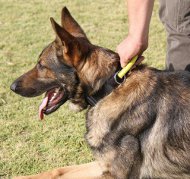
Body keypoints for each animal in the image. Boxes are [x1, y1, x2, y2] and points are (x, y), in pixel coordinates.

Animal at [10, 7, 190, 179]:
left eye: (41, 65)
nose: (12, 87)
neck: (108, 90)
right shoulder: (103, 165)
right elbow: (57, 171)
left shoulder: (114, 174)